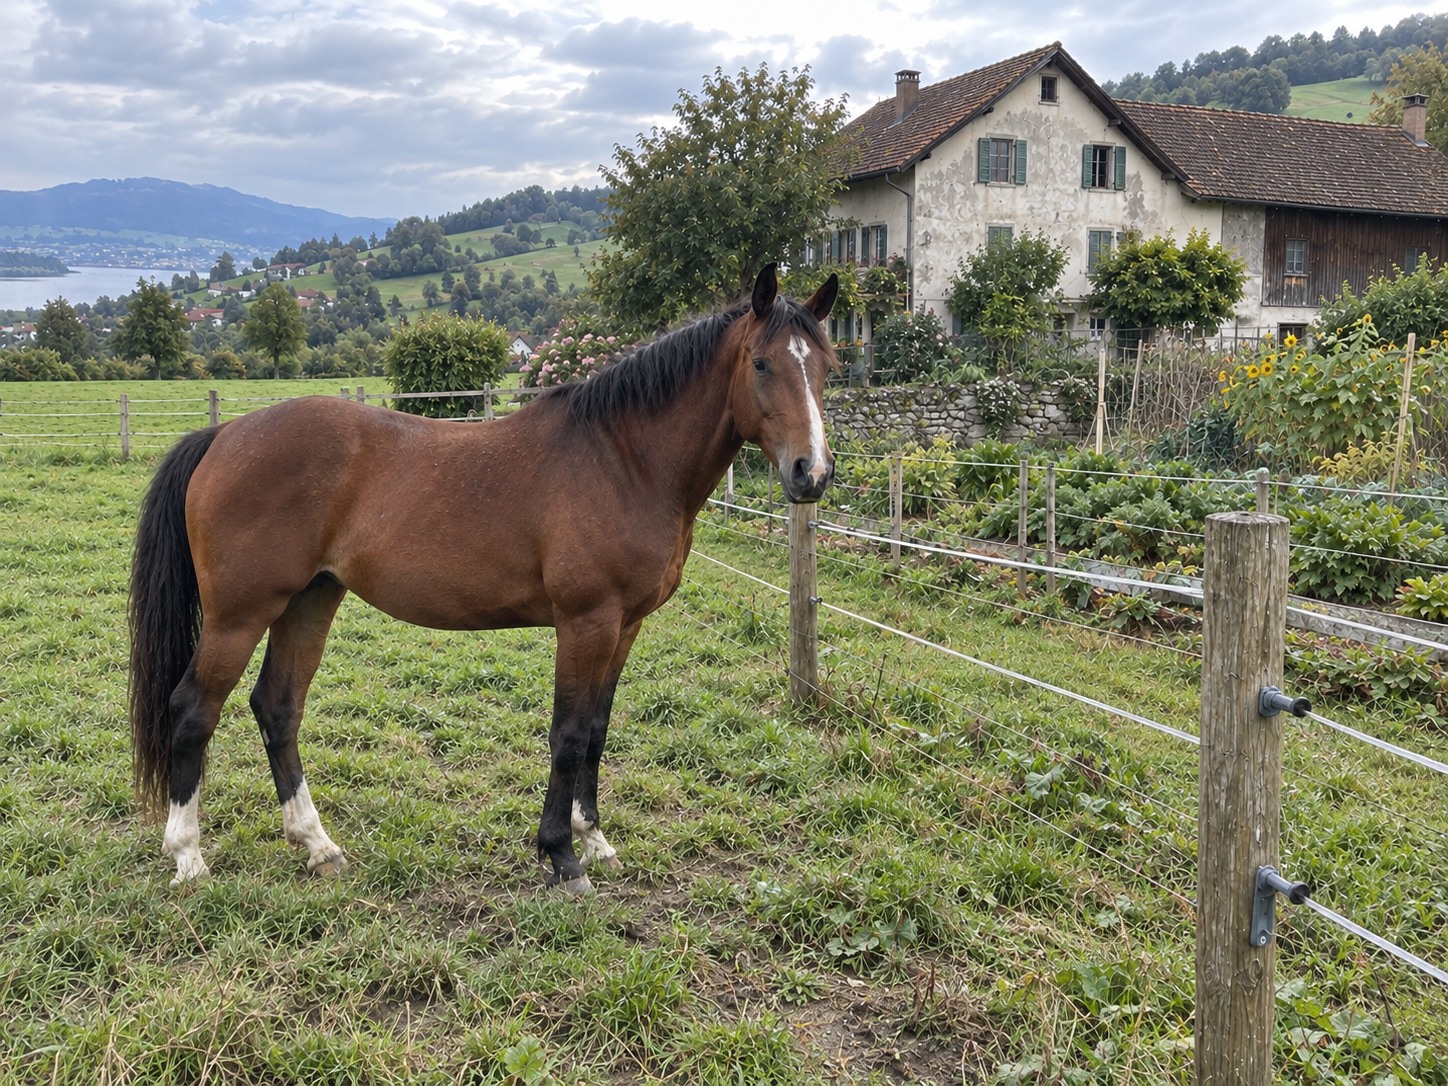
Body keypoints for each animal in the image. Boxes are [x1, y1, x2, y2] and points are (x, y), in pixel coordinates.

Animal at [129, 264, 839, 895]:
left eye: (826, 367)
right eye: (762, 364)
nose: (812, 473)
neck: (623, 459)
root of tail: (224, 436)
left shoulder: (625, 625)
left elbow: (598, 731)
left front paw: (595, 839)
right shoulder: (586, 622)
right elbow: (568, 734)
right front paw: (562, 857)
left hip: (309, 600)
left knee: (277, 708)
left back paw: (318, 845)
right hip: (240, 614)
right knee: (193, 710)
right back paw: (188, 857)